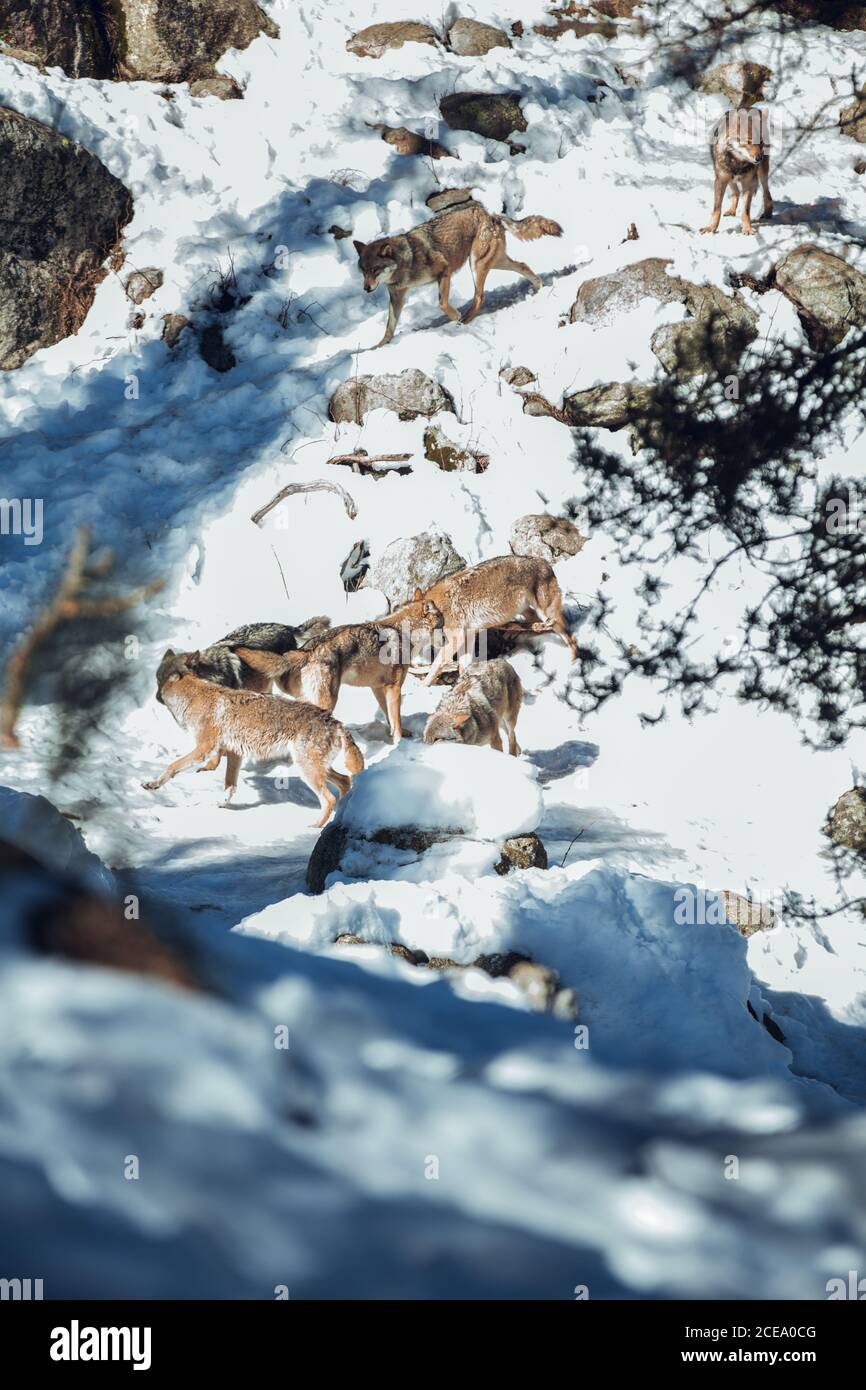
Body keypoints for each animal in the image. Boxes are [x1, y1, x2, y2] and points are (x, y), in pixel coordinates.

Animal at [142, 644, 361, 817]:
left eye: (159, 681)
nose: (155, 697)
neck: (194, 698)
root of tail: (335, 721)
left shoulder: (204, 749)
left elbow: (172, 766)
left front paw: (153, 784)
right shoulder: (234, 752)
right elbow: (230, 785)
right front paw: (222, 804)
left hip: (308, 770)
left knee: (330, 799)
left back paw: (315, 826)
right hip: (317, 768)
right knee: (345, 781)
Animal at [354, 202, 567, 350]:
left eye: (375, 270)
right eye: (363, 271)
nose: (366, 289)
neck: (407, 260)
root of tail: (491, 214)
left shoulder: (444, 273)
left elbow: (442, 303)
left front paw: (455, 316)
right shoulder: (397, 297)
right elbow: (389, 327)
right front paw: (377, 347)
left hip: (476, 266)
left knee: (480, 296)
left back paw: (464, 320)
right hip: (495, 263)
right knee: (523, 266)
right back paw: (539, 287)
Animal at [405, 553, 583, 683]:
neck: (440, 609)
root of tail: (545, 562)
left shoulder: (457, 639)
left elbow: (436, 665)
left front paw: (424, 686)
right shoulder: (468, 637)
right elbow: (463, 666)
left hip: (547, 613)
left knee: (570, 636)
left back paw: (575, 664)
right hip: (527, 611)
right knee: (535, 624)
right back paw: (514, 632)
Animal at [700, 108, 778, 236]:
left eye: (760, 142)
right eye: (748, 141)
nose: (759, 158)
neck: (738, 162)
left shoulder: (749, 183)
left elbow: (745, 211)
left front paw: (747, 229)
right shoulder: (720, 180)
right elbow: (717, 209)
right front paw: (711, 228)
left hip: (762, 173)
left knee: (767, 194)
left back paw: (767, 213)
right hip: (729, 179)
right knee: (736, 192)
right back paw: (731, 210)